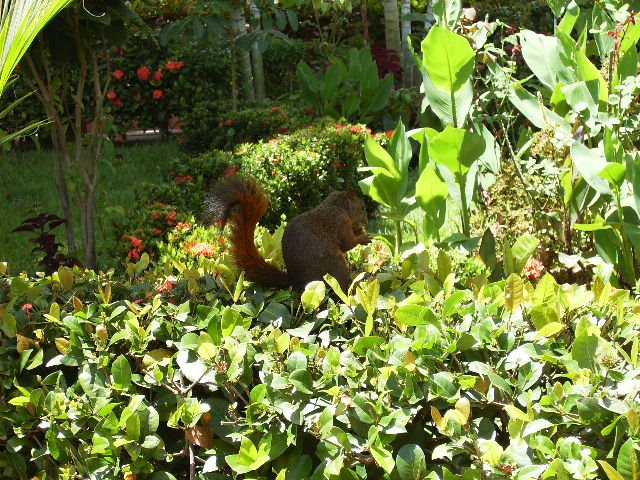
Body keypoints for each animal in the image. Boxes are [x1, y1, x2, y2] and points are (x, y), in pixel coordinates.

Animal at [206, 174, 370, 290]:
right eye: (362, 207)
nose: (367, 221)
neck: (337, 207)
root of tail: (295, 281)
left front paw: (360, 230)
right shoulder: (340, 224)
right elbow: (348, 243)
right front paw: (364, 237)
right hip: (335, 267)